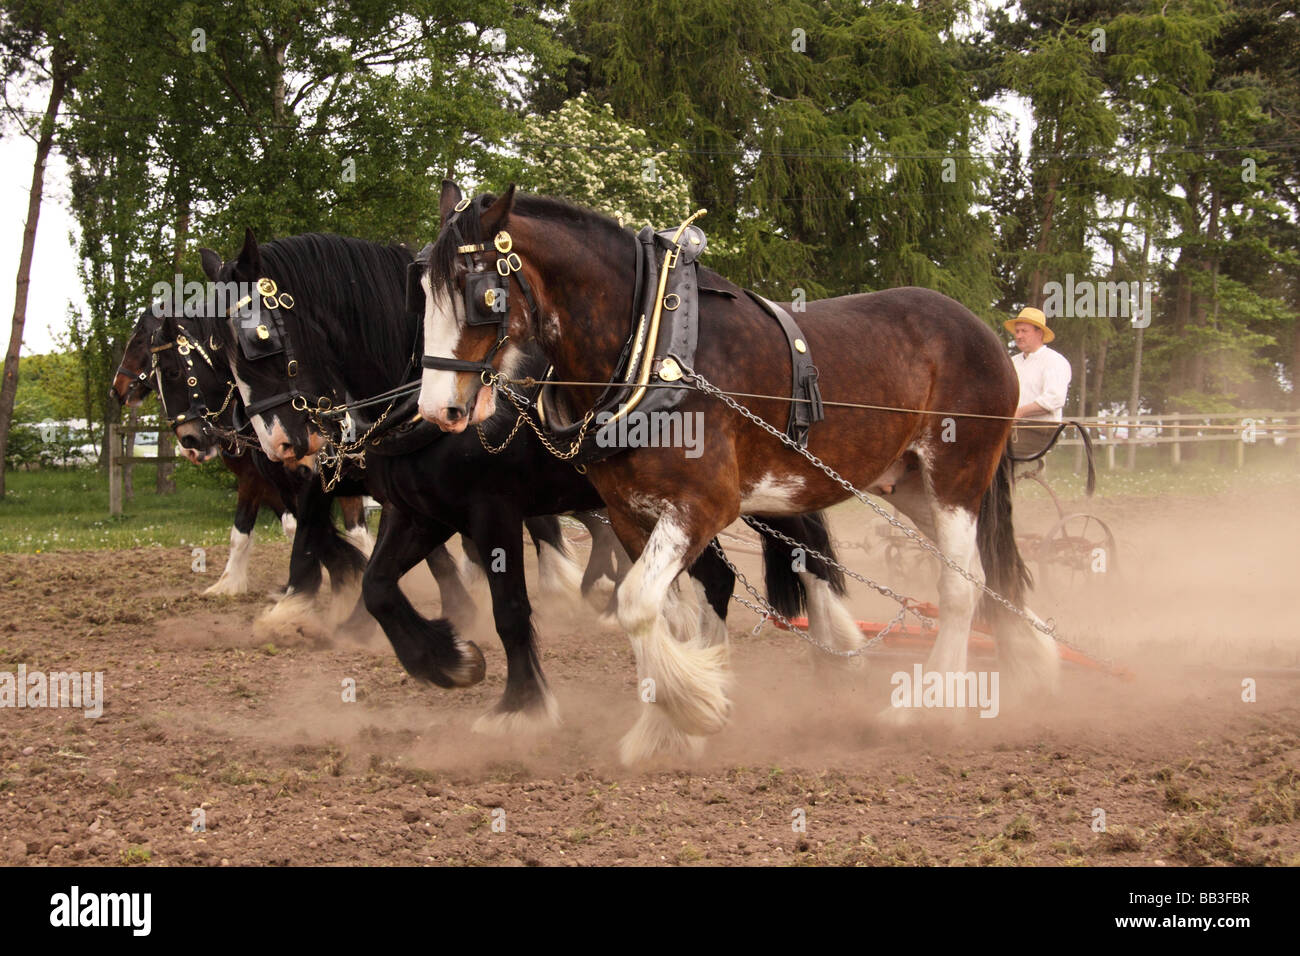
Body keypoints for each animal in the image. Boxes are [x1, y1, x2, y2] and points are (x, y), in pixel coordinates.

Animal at [195, 229, 858, 733]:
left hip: (755, 489)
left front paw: (522, 706)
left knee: (807, 555)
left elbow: (510, 608)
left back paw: (836, 657)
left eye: (258, 340)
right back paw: (716, 668)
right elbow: (379, 585)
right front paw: (448, 659)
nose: (278, 443)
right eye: (219, 348)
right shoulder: (421, 512)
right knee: (722, 577)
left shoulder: (492, 511)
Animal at [416, 182, 1064, 763]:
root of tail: (983, 331)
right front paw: (668, 727)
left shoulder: (703, 507)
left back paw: (928, 705)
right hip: (911, 487)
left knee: (959, 588)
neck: (652, 351)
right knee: (984, 573)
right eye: (422, 289)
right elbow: (664, 612)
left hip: (958, 471)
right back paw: (1032, 663)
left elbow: (636, 603)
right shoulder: (630, 514)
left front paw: (695, 707)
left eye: (480, 295)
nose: (437, 409)